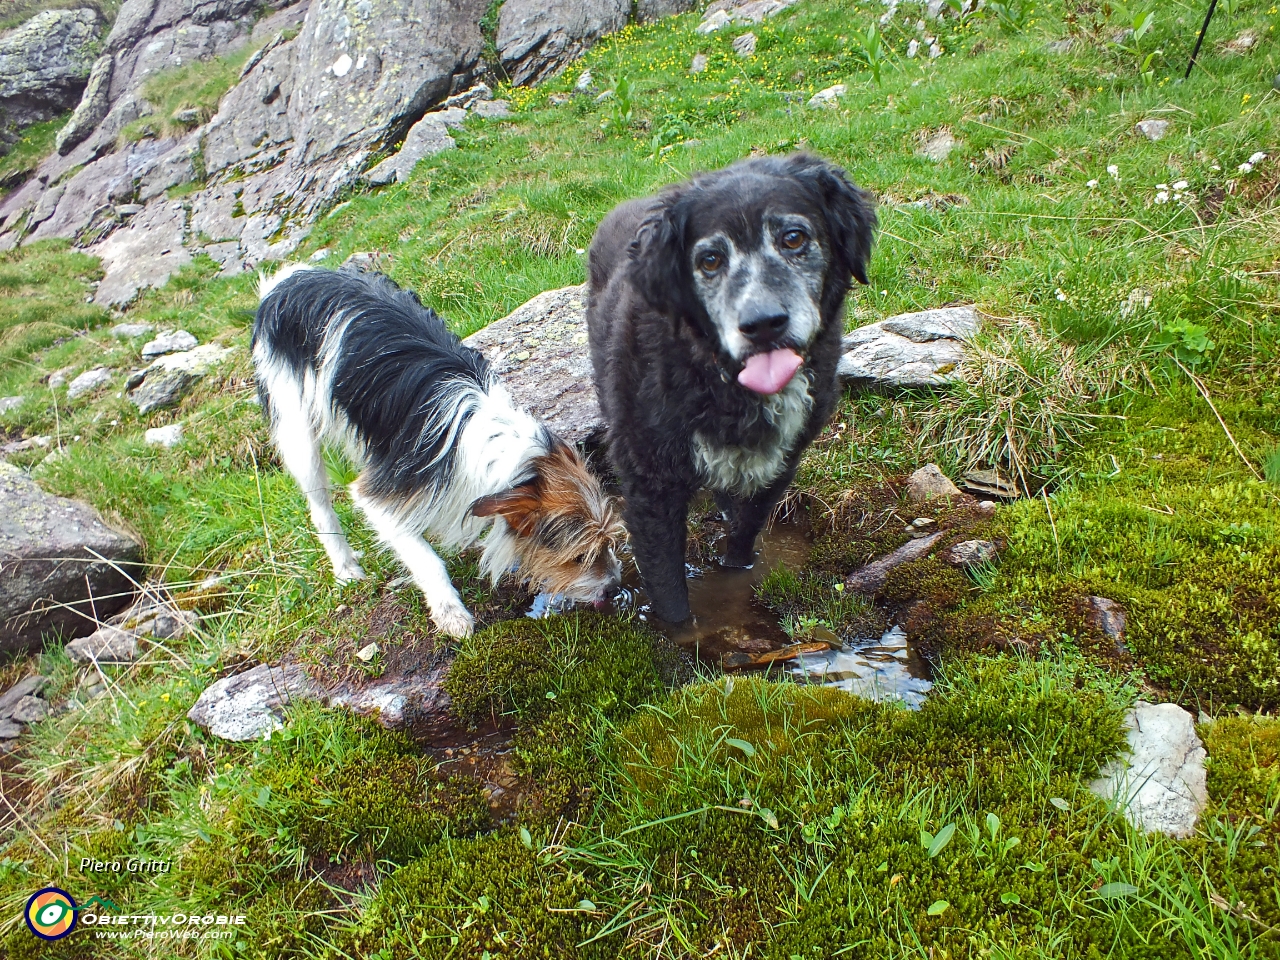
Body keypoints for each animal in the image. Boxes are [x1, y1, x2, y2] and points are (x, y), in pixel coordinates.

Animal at [252, 264, 622, 640]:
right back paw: (344, 566)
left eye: (609, 542)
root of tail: (290, 279)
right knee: (320, 505)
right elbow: (424, 557)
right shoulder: (379, 496)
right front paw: (450, 612)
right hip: (295, 426)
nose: (615, 589)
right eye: (579, 557)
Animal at [586, 151, 875, 624]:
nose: (763, 324)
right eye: (709, 261)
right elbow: (669, 591)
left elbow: (744, 534)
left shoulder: (779, 465)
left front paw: (737, 572)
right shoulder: (651, 490)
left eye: (793, 238)